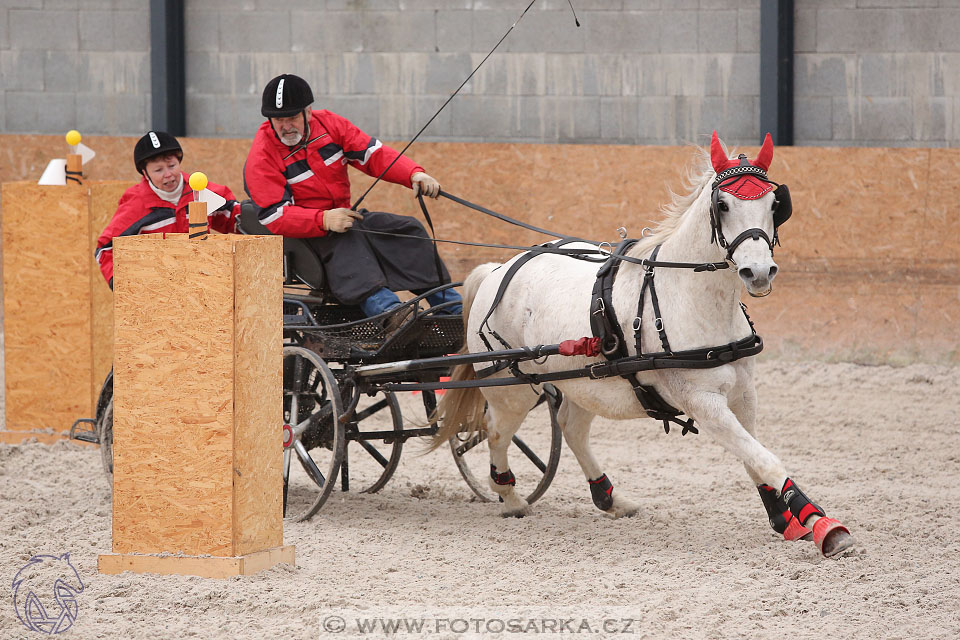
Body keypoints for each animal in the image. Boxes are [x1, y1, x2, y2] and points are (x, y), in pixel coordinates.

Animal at [436, 132, 856, 556]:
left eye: (774, 204)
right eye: (722, 205)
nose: (758, 272)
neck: (691, 298)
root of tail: (497, 270)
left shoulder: (743, 394)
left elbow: (754, 456)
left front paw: (787, 518)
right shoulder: (703, 402)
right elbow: (766, 459)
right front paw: (821, 524)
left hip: (584, 381)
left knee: (570, 427)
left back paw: (610, 499)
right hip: (512, 389)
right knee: (494, 431)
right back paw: (510, 498)